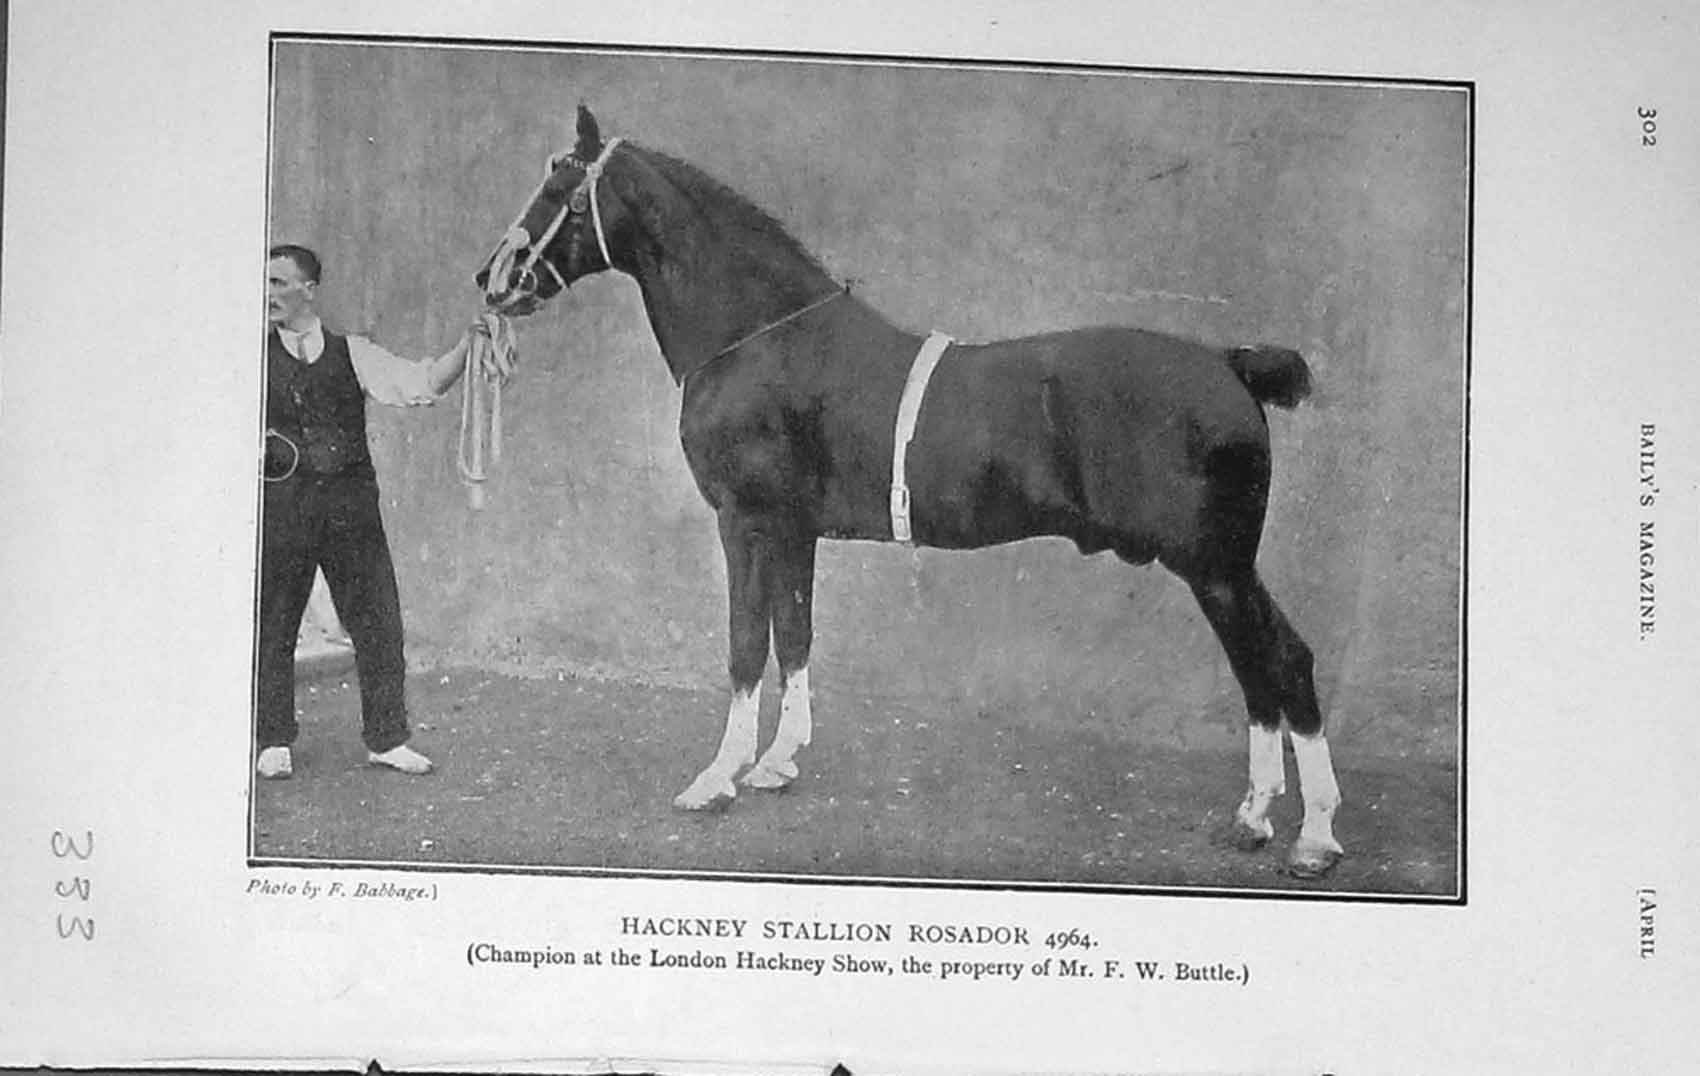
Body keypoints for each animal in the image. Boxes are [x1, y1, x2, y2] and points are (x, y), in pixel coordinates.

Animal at [475, 104, 1344, 879]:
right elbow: (795, 635)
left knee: (1281, 662)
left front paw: (717, 778)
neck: (761, 337)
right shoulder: (793, 530)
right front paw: (777, 762)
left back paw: (1312, 836)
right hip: (1221, 569)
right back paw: (1255, 820)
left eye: (559, 187)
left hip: (1216, 567)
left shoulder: (745, 522)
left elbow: (745, 645)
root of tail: (1232, 365)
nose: (490, 279)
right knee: (1265, 671)